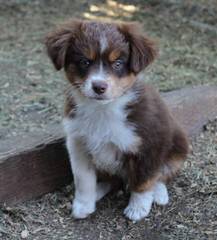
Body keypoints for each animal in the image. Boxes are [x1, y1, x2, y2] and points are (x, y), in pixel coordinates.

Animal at [45, 20, 188, 221]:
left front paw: (138, 209)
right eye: (84, 62)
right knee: (111, 180)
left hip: (178, 148)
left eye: (118, 63)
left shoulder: (150, 144)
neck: (103, 109)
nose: (99, 87)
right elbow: (83, 179)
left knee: (161, 174)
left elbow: (144, 179)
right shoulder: (78, 143)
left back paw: (159, 194)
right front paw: (83, 205)